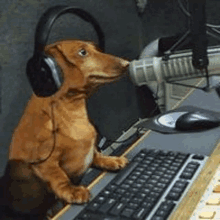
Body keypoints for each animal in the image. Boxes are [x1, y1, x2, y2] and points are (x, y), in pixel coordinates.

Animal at [5, 39, 130, 213]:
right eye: (82, 52)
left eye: (96, 48)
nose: (127, 64)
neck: (71, 112)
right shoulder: (44, 162)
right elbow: (58, 176)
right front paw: (72, 191)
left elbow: (96, 154)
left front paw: (111, 160)